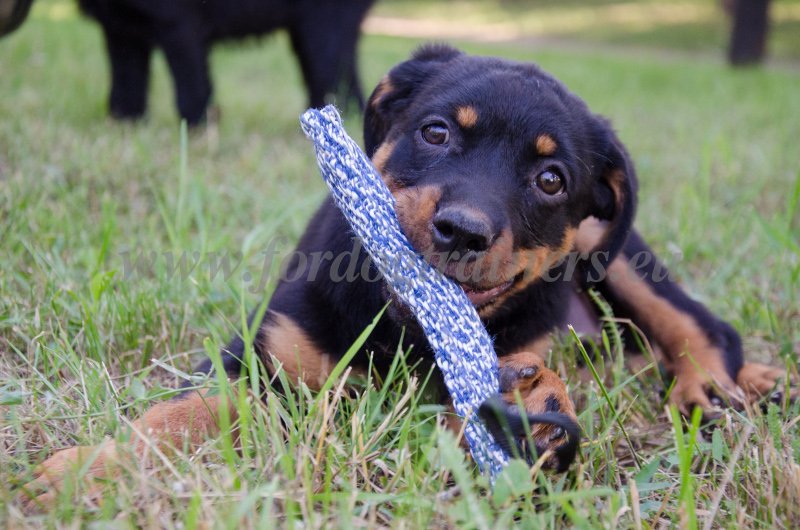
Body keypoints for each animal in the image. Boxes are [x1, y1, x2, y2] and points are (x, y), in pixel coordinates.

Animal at [20, 43, 792, 502]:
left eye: (551, 179)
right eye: (437, 131)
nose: (462, 231)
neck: (403, 326)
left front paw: (538, 416)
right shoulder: (261, 357)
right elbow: (180, 414)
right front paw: (89, 471)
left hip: (615, 250)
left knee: (702, 327)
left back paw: (714, 390)